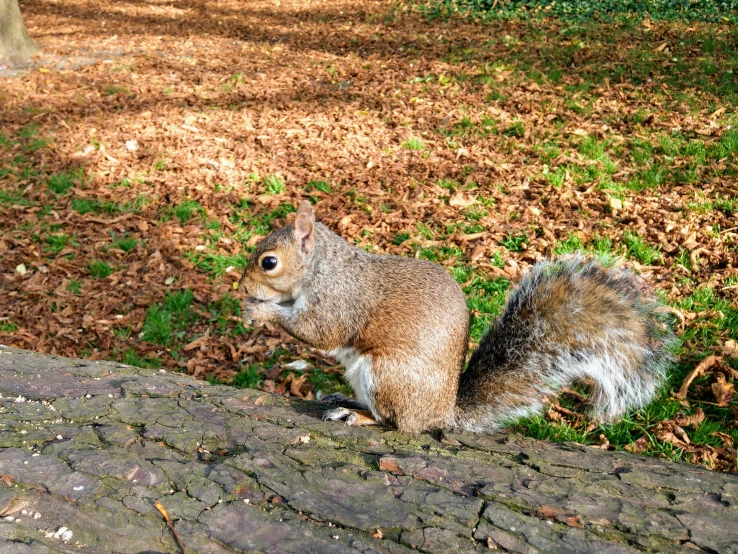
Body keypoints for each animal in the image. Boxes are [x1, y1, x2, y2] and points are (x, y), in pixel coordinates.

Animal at [239, 201, 676, 434]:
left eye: (269, 262)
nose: (242, 287)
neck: (321, 267)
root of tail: (444, 411)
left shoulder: (339, 300)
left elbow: (320, 332)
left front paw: (261, 310)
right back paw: (344, 398)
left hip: (388, 375)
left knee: (397, 423)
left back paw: (356, 415)